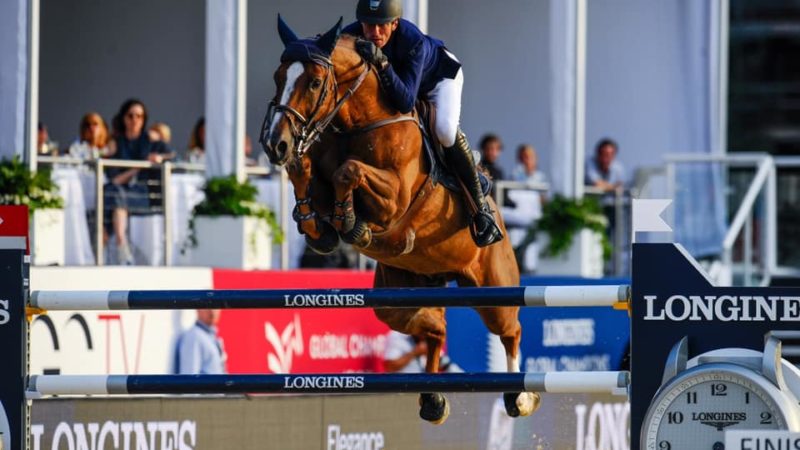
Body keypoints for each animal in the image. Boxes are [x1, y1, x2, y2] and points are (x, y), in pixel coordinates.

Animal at [260, 16, 540, 426]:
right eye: (278, 76)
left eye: (313, 82)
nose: (274, 144)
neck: (357, 122)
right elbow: (307, 179)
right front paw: (323, 223)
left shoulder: (394, 198)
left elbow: (349, 171)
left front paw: (351, 222)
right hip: (399, 297)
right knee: (435, 327)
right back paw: (433, 399)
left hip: (494, 286)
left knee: (511, 330)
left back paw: (519, 398)